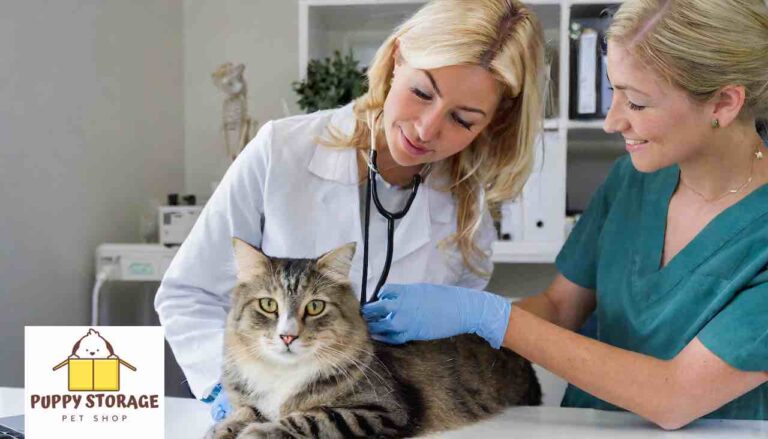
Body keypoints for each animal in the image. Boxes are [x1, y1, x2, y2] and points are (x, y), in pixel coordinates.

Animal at [204, 241, 540, 439]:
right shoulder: (254, 400)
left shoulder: (380, 410)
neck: (284, 375)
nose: (287, 335)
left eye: (315, 307)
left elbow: (308, 419)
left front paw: (259, 432)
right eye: (268, 305)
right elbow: (243, 412)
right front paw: (223, 428)